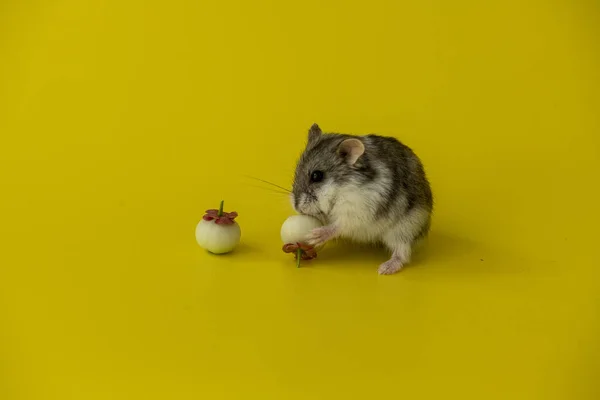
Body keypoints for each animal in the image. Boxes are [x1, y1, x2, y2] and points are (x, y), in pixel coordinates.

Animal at [290, 124, 432, 276]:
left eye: (316, 176)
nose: (297, 208)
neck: (340, 189)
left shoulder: (358, 209)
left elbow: (341, 224)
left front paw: (316, 235)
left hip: (405, 229)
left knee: (402, 252)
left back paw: (385, 269)